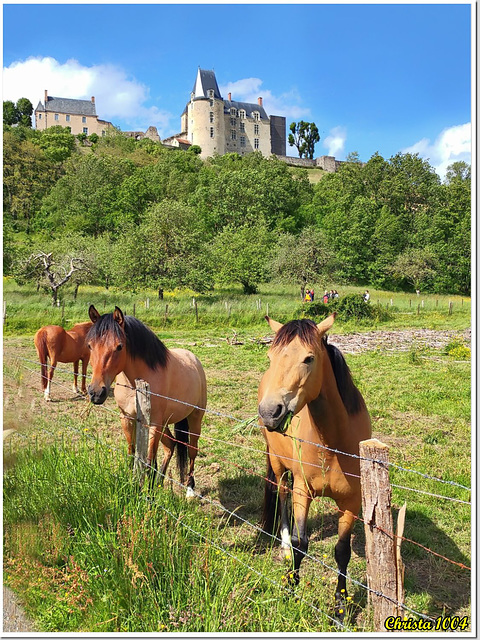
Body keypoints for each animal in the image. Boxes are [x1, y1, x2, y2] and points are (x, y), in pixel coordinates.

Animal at [86, 304, 206, 496]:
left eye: (119, 346)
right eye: (89, 345)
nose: (96, 392)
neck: (135, 384)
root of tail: (193, 359)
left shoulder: (153, 424)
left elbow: (148, 462)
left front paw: (146, 494)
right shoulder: (127, 418)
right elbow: (132, 454)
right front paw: (137, 486)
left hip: (194, 418)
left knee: (192, 451)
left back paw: (189, 488)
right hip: (165, 424)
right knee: (171, 445)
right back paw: (159, 483)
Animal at [258, 314, 372, 616]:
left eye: (309, 358)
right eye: (270, 356)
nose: (269, 412)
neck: (331, 444)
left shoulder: (351, 502)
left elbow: (342, 552)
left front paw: (340, 607)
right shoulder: (303, 492)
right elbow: (301, 544)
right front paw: (291, 586)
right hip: (278, 465)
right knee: (281, 494)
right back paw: (283, 543)